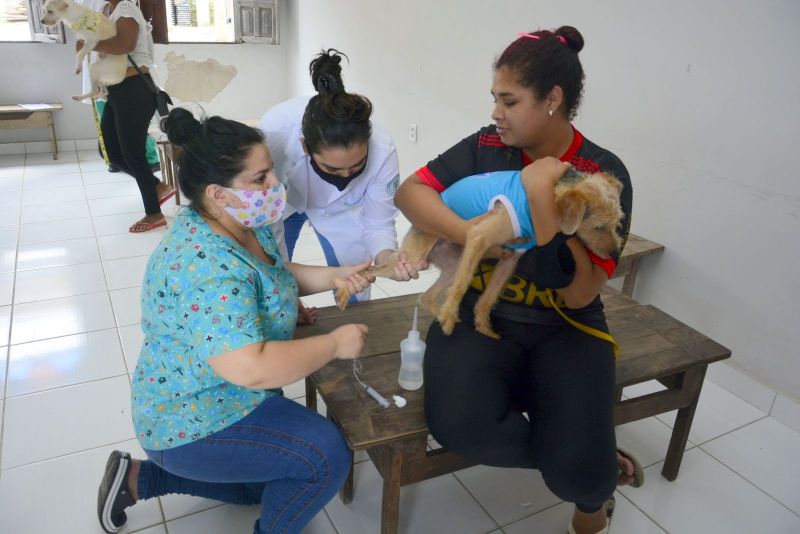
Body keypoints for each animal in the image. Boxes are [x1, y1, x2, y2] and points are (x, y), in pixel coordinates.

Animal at [334, 169, 620, 340]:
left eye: (618, 223)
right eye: (598, 227)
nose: (614, 253)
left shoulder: (511, 259)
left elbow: (488, 298)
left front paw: (484, 329)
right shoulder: (478, 236)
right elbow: (463, 286)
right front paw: (449, 318)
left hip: (452, 263)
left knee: (426, 296)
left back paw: (440, 310)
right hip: (415, 257)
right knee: (371, 269)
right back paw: (346, 291)